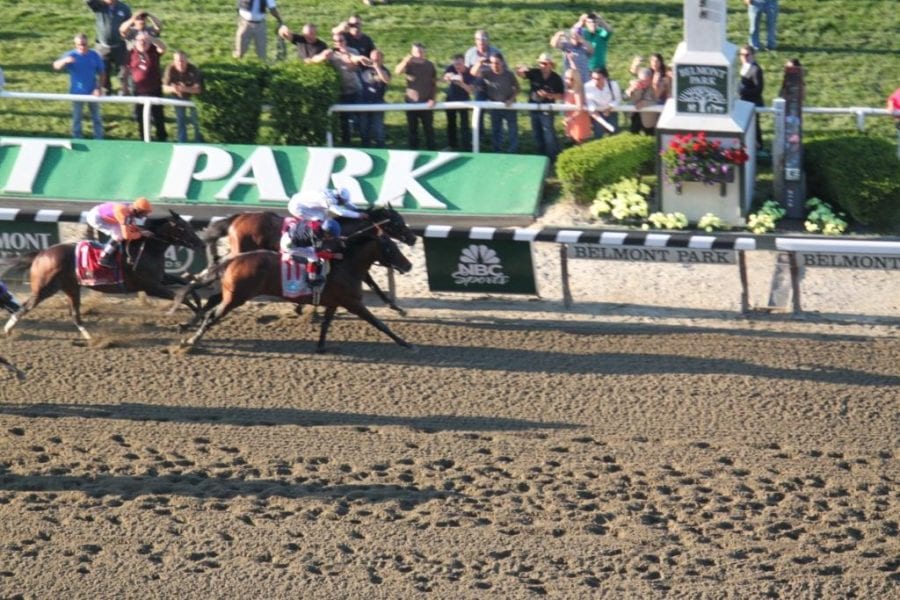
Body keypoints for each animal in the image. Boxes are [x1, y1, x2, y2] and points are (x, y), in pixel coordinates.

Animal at [2, 212, 203, 340]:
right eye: (183, 228)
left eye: (189, 225)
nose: (200, 243)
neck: (147, 248)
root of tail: (41, 253)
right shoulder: (151, 287)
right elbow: (181, 296)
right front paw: (190, 321)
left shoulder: (161, 279)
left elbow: (188, 286)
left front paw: (195, 314)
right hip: (46, 287)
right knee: (25, 307)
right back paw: (7, 330)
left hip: (71, 287)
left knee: (74, 315)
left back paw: (91, 338)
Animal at [176, 232, 414, 352]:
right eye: (391, 248)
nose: (409, 265)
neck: (346, 264)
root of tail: (233, 259)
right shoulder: (353, 303)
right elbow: (379, 323)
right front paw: (406, 343)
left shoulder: (334, 302)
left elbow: (326, 325)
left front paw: (320, 346)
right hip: (236, 297)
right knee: (212, 315)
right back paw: (191, 341)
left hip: (233, 294)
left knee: (211, 307)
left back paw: (188, 329)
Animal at [199, 207, 416, 314]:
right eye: (397, 223)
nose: (413, 238)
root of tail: (237, 218)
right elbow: (371, 283)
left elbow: (372, 283)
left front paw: (396, 307)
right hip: (242, 250)